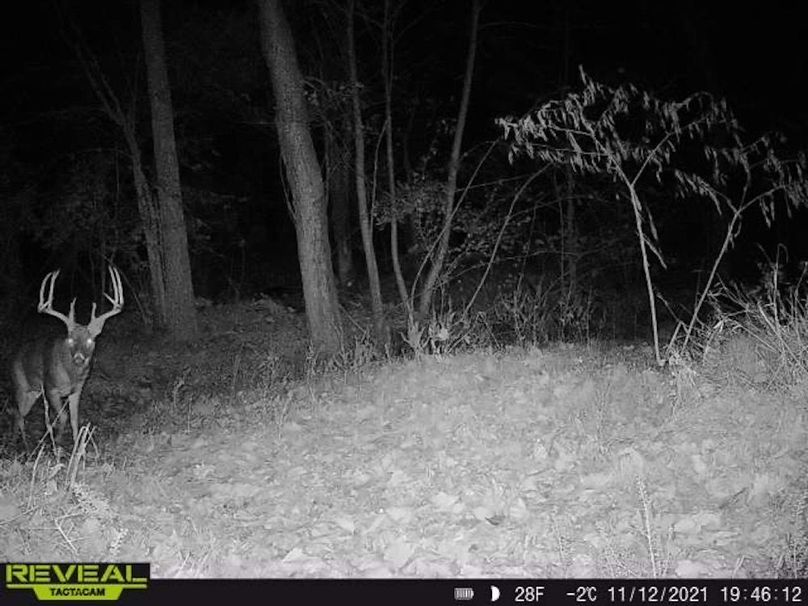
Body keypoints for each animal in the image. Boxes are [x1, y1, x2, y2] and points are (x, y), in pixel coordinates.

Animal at [10, 266, 124, 449]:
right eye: (70, 339)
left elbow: (74, 419)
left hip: (33, 392)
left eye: (91, 340)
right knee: (17, 414)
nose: (78, 358)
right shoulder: (50, 387)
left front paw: (77, 446)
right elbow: (62, 417)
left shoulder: (76, 390)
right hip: (20, 384)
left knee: (19, 414)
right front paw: (56, 443)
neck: (70, 376)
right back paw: (22, 445)